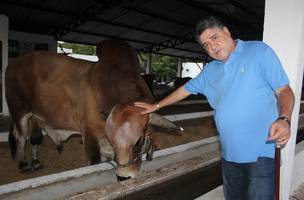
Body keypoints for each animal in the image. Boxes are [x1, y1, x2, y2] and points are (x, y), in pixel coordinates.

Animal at [5, 39, 180, 180]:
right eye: (113, 140)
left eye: (138, 140)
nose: (124, 175)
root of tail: (13, 63)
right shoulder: (89, 133)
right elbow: (95, 160)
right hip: (18, 110)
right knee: (21, 137)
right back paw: (24, 164)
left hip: (35, 114)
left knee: (34, 137)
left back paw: (35, 161)